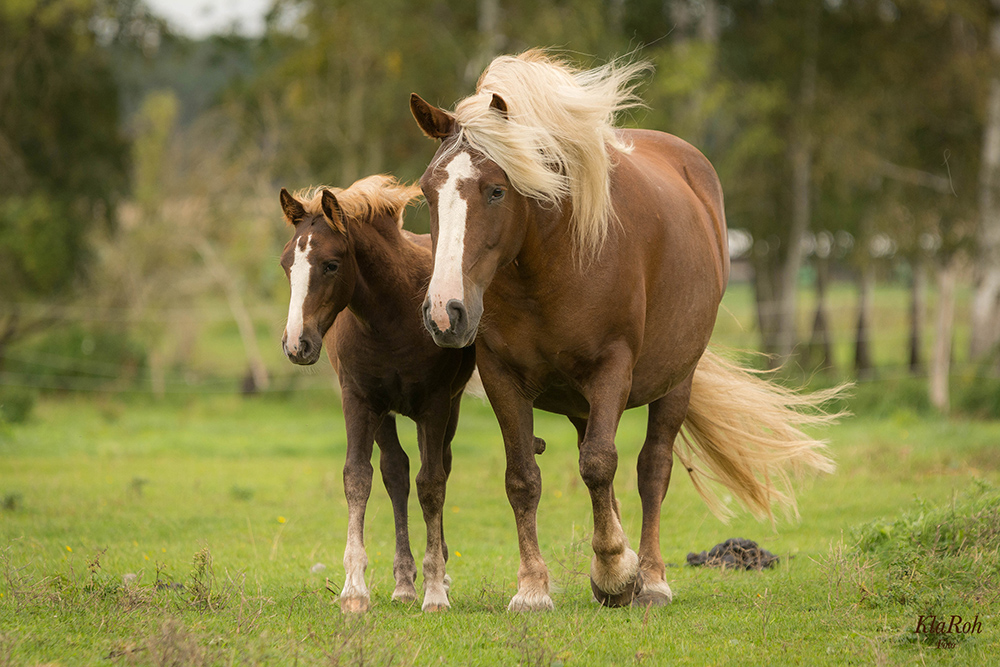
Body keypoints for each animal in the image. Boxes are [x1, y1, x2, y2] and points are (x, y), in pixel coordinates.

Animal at [276, 175, 474, 612]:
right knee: (396, 472)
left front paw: (435, 591)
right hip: (384, 413)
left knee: (438, 468)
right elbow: (358, 477)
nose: (297, 344)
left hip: (446, 409)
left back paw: (436, 575)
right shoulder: (359, 400)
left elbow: (432, 484)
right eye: (286, 264)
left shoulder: (435, 403)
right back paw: (403, 583)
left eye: (331, 265)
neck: (392, 317)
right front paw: (354, 589)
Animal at [410, 54, 840, 612]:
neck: (549, 264)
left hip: (675, 381)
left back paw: (651, 578)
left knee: (650, 469)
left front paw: (616, 570)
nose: (446, 313)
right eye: (426, 192)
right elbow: (523, 478)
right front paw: (533, 588)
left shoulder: (612, 366)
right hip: (581, 400)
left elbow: (600, 464)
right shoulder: (502, 375)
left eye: (496, 190)